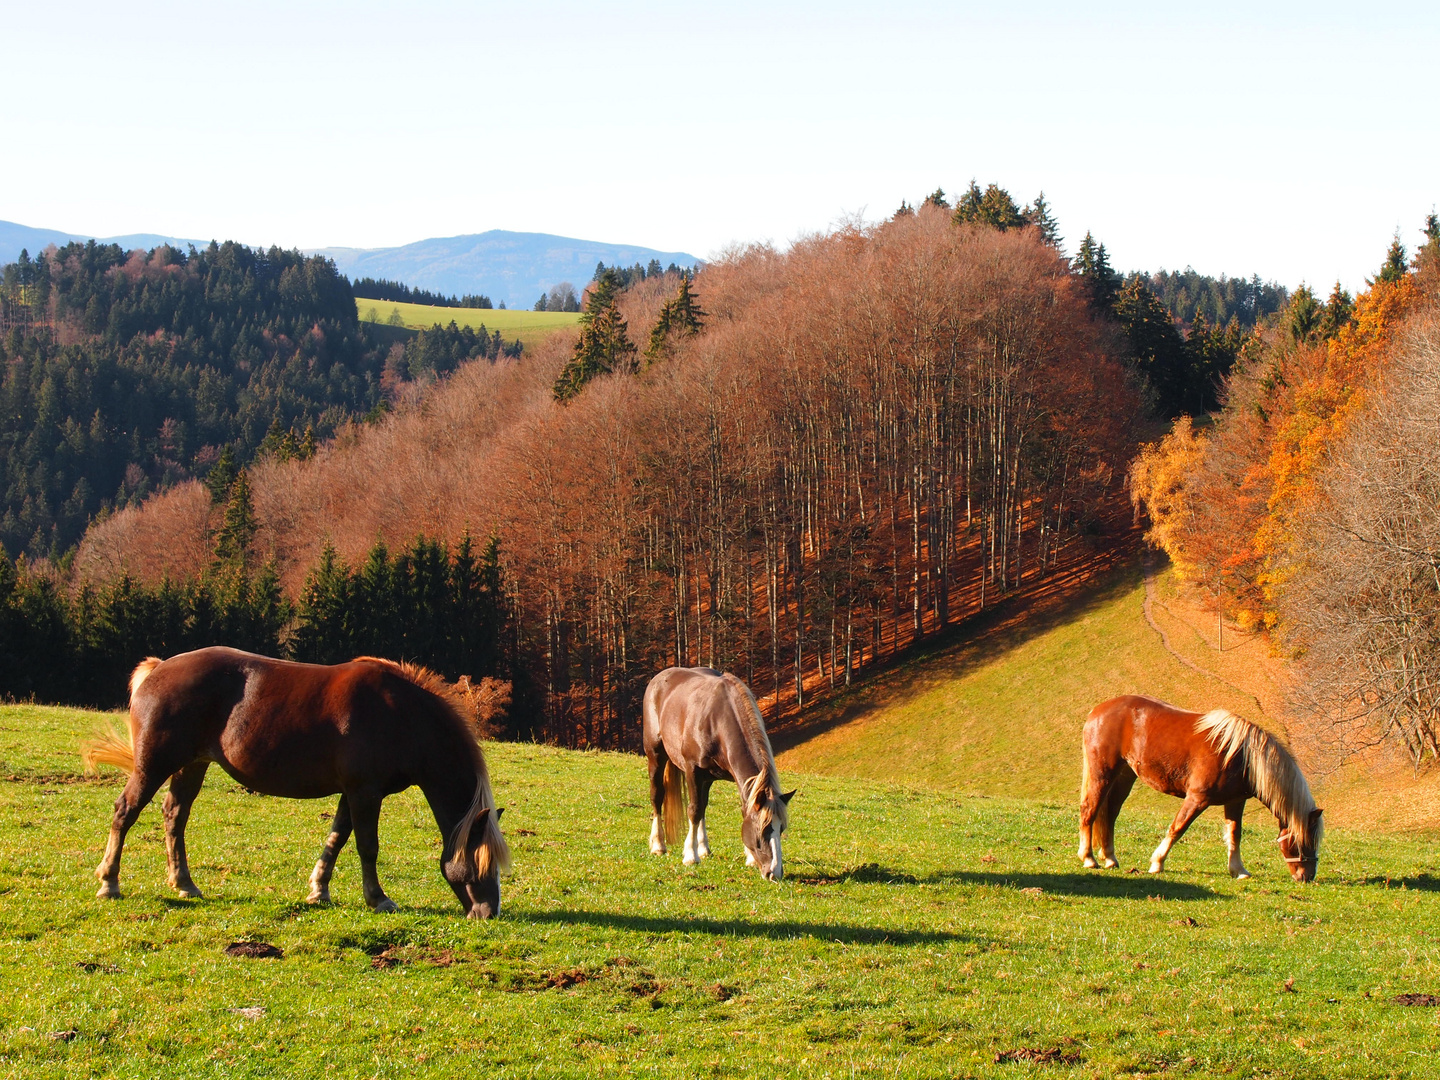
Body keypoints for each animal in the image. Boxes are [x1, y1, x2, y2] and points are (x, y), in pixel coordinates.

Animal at [80, 650, 506, 921]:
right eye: (479, 863)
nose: (488, 913)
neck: (402, 715)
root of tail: (157, 669)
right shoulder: (365, 792)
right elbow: (367, 847)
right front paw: (378, 899)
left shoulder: (352, 793)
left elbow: (337, 839)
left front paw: (319, 890)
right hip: (154, 766)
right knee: (125, 812)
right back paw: (110, 882)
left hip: (191, 766)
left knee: (175, 817)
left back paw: (184, 883)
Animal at [645, 668, 800, 881]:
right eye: (761, 831)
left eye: (781, 828)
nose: (774, 873)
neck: (718, 721)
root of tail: (660, 677)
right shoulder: (693, 771)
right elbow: (693, 810)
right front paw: (690, 856)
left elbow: (739, 809)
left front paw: (750, 858)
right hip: (655, 756)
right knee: (657, 797)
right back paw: (659, 845)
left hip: (707, 779)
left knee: (703, 805)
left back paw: (703, 848)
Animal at [1077, 696, 1319, 881]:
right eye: (1303, 842)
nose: (1307, 876)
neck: (1241, 756)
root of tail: (1096, 711)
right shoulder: (1197, 798)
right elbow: (1178, 828)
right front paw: (1157, 862)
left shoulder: (1235, 801)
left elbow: (1235, 835)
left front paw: (1238, 870)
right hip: (1102, 774)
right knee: (1089, 810)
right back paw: (1089, 858)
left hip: (1125, 777)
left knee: (1109, 814)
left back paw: (1110, 858)